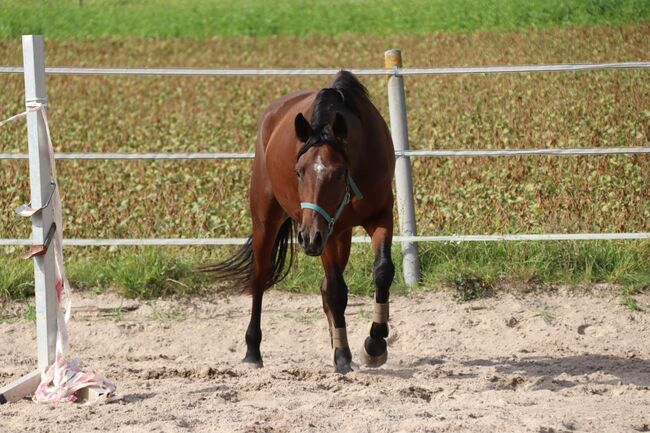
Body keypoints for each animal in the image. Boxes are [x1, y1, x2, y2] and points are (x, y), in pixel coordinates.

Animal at [204, 70, 394, 372]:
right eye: (298, 171)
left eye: (338, 172)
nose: (307, 237)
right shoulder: (325, 232)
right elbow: (337, 292)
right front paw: (344, 357)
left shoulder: (381, 214)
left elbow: (383, 271)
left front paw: (374, 345)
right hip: (267, 220)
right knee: (260, 278)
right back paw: (253, 350)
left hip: (337, 233)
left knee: (324, 288)